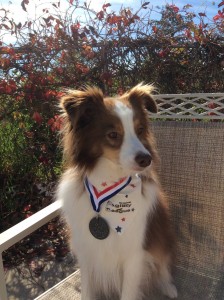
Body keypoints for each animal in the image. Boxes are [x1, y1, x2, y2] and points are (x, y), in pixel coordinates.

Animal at [57, 84, 178, 300]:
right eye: (113, 134)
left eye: (140, 130)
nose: (146, 159)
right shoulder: (87, 252)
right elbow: (88, 290)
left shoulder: (135, 254)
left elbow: (129, 291)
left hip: (162, 240)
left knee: (163, 267)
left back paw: (168, 287)